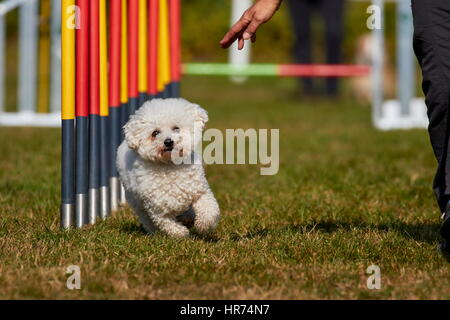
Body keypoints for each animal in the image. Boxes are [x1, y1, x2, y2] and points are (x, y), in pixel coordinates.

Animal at [117, 97, 221, 238]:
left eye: (176, 128)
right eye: (155, 133)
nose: (168, 141)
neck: (170, 165)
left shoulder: (200, 191)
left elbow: (208, 208)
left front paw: (203, 225)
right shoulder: (157, 208)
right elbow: (166, 223)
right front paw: (181, 233)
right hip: (136, 202)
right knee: (147, 220)